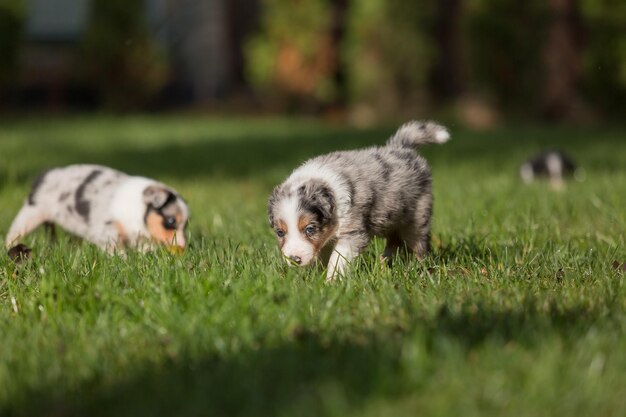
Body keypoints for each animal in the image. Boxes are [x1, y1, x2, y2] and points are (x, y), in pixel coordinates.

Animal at [266, 122, 448, 282]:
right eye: (280, 232)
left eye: (310, 229)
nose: (294, 259)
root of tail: (403, 148)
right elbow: (322, 256)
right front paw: (316, 278)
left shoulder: (352, 232)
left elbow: (337, 259)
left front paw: (331, 282)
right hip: (392, 216)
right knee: (394, 242)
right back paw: (384, 264)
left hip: (417, 217)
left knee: (419, 245)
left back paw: (420, 270)